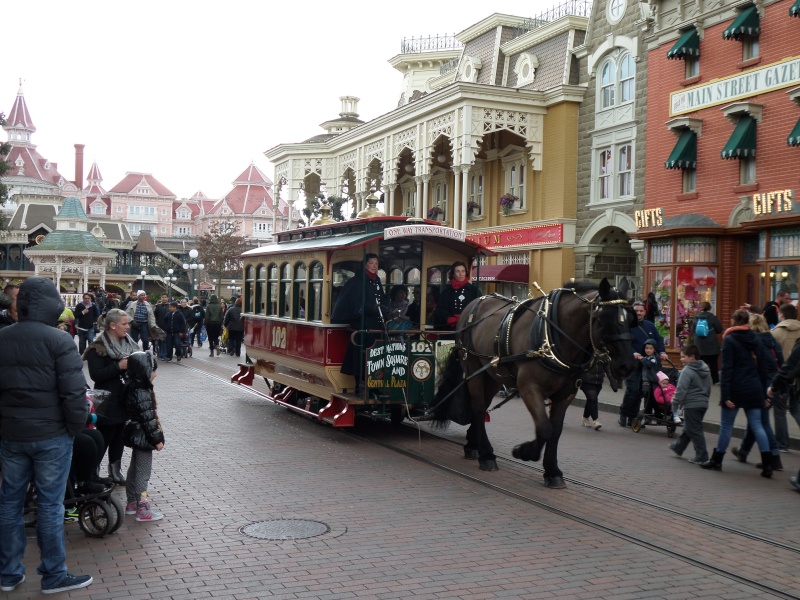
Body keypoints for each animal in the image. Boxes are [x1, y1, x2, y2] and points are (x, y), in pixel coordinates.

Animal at [434, 278, 636, 490]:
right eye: (604, 318)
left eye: (631, 318)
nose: (627, 365)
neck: (553, 337)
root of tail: (474, 303)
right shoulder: (529, 387)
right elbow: (544, 428)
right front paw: (523, 452)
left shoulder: (565, 394)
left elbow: (555, 431)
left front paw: (552, 472)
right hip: (474, 369)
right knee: (479, 407)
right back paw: (487, 455)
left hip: (492, 375)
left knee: (480, 408)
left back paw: (473, 446)